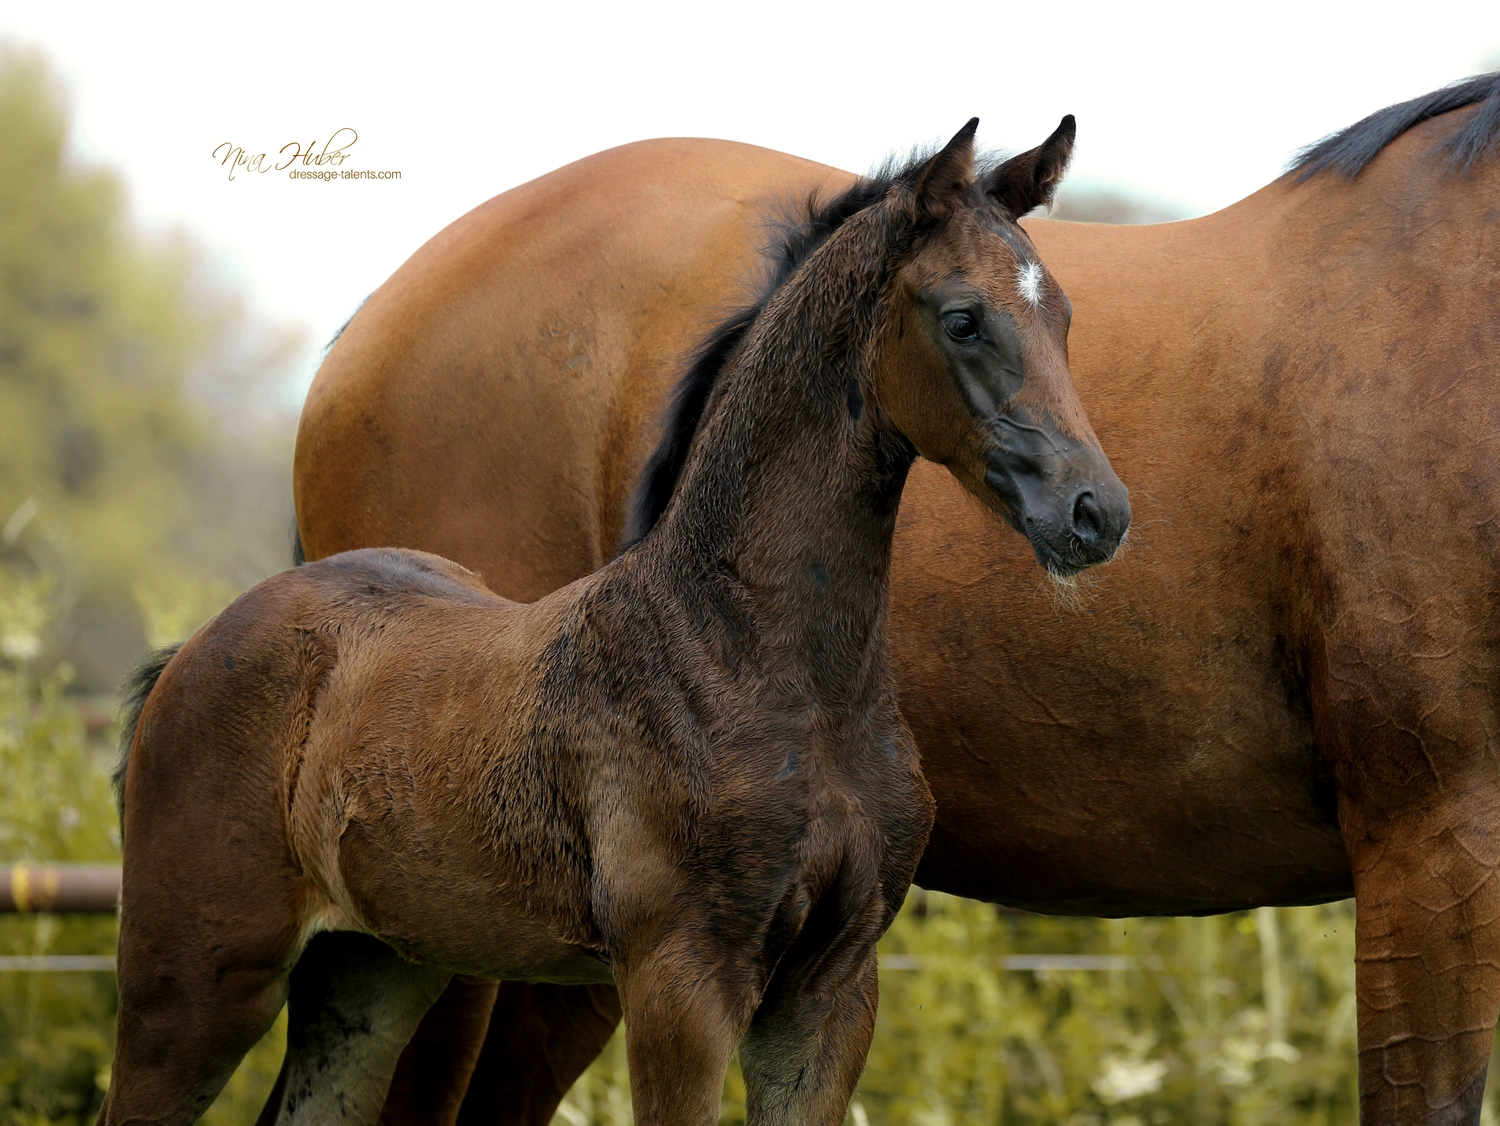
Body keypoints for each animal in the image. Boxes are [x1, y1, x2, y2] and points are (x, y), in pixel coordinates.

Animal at [104, 119, 1128, 1126]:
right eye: (962, 318)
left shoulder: (832, 990)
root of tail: (195, 649)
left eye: (1066, 318)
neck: (750, 652)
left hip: (371, 974)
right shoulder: (682, 981)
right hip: (192, 984)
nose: (1098, 513)